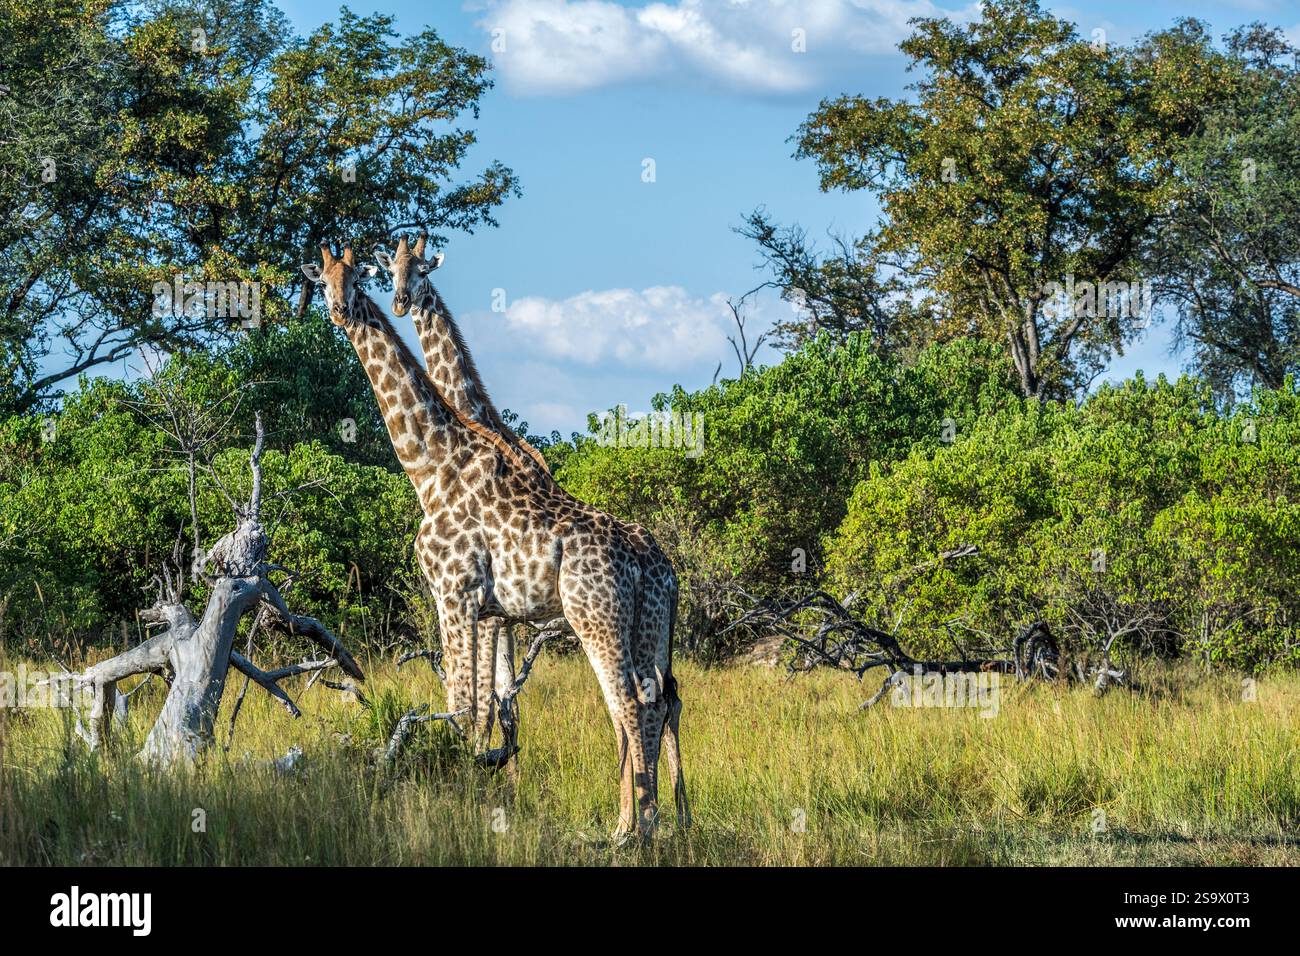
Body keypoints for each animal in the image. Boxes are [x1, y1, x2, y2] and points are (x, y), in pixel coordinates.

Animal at [301, 244, 685, 837]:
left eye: (357, 277)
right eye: (322, 279)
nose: (342, 311)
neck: (432, 467)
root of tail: (659, 566)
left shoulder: (455, 595)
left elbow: (464, 703)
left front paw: (463, 790)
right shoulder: (491, 611)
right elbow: (490, 705)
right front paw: (489, 777)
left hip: (596, 620)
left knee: (627, 705)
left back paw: (632, 829)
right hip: (647, 627)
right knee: (657, 702)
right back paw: (655, 822)